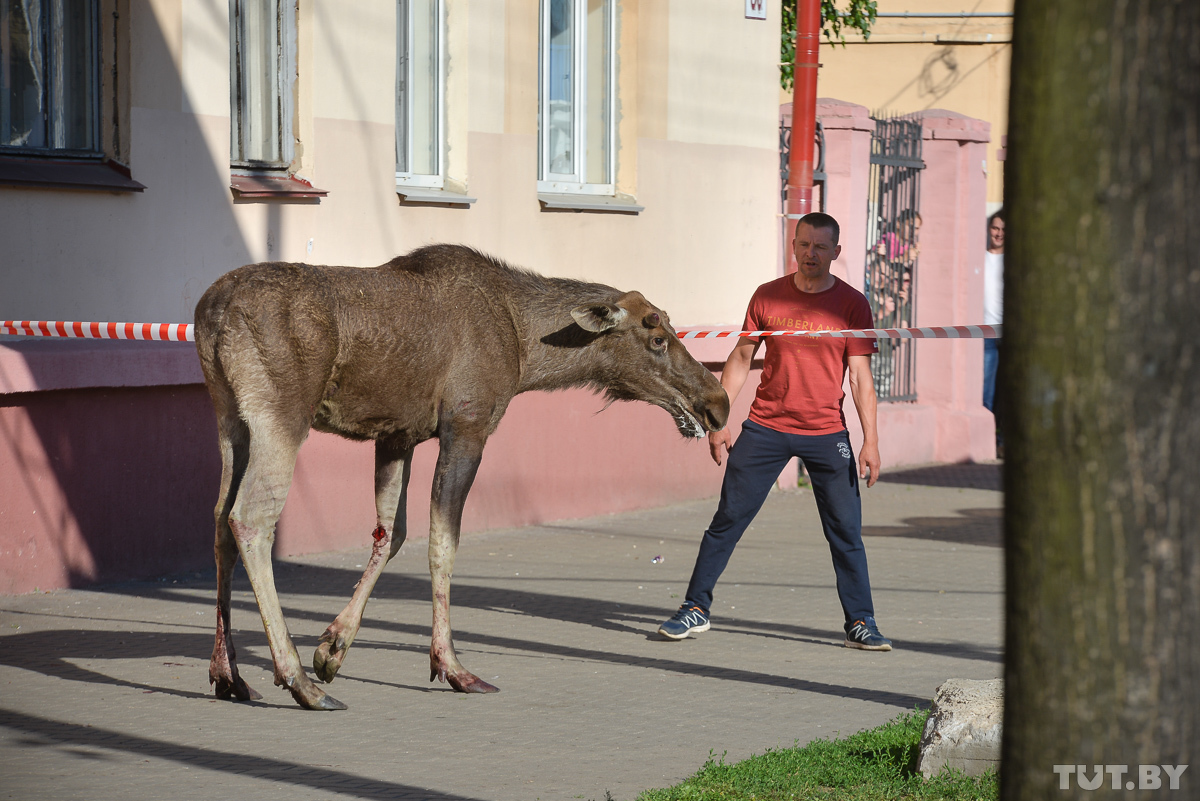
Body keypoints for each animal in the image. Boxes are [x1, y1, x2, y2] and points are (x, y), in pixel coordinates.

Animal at [194, 244, 729, 705]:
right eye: (656, 338)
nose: (719, 402)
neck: (526, 349)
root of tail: (211, 312)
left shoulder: (397, 435)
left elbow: (391, 533)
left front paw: (333, 647)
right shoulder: (468, 423)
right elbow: (442, 542)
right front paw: (450, 665)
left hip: (229, 417)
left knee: (219, 519)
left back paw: (229, 673)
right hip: (282, 414)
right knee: (251, 519)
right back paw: (297, 680)